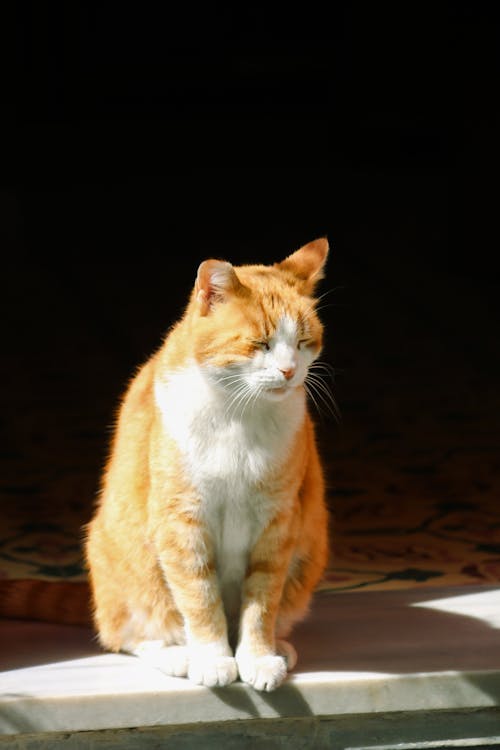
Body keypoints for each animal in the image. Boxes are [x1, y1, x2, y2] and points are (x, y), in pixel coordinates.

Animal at [84, 239, 330, 692]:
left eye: (304, 341)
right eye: (261, 343)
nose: (289, 370)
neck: (240, 415)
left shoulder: (277, 523)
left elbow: (261, 603)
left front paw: (258, 658)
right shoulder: (182, 521)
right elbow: (199, 598)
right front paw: (214, 659)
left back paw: (279, 647)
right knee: (127, 634)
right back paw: (177, 654)